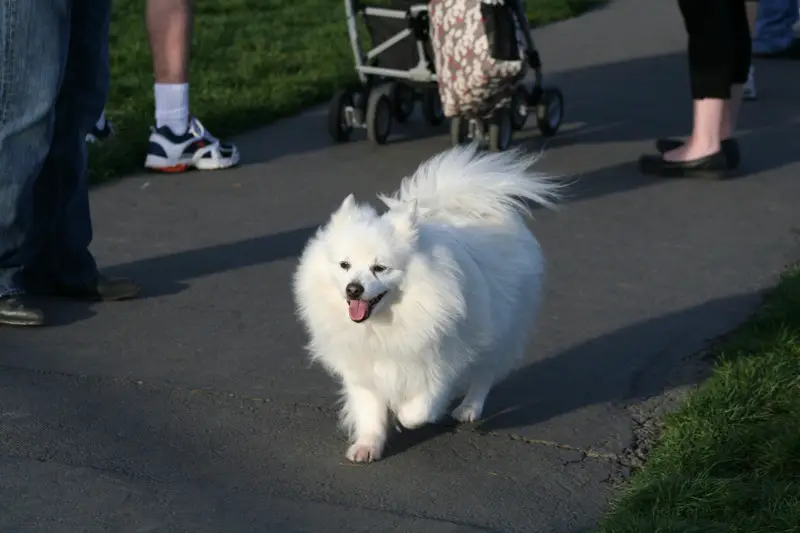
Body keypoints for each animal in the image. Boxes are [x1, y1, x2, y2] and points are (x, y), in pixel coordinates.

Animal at [290, 144, 560, 462]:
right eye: (345, 265)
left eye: (379, 268)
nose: (353, 289)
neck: (384, 324)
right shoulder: (363, 363)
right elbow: (369, 407)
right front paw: (368, 445)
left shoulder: (439, 358)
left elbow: (418, 409)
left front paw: (404, 414)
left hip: (498, 328)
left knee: (485, 373)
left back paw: (469, 408)